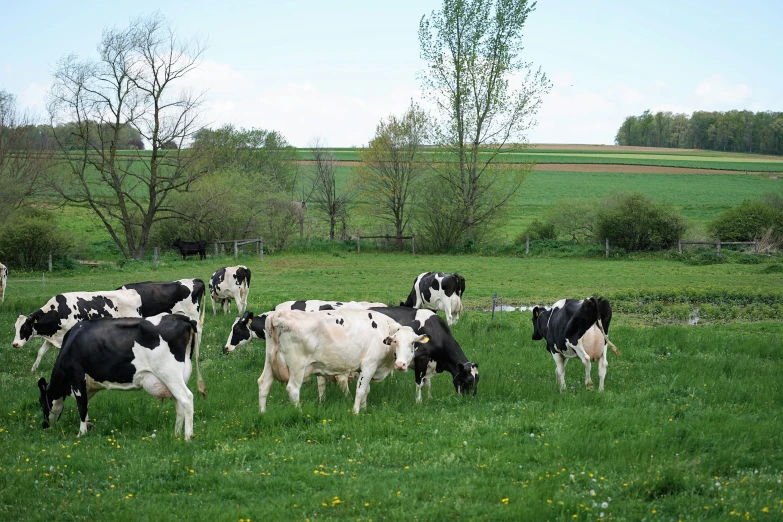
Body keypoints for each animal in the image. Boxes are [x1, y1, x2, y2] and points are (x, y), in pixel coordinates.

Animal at [12, 288, 144, 370]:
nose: (14, 344)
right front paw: (33, 369)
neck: (59, 311)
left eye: (24, 328)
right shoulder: (52, 337)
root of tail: (131, 291)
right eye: (15, 328)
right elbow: (40, 352)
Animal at [37, 310, 205, 436]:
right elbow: (86, 405)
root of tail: (183, 317)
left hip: (169, 373)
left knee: (186, 398)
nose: (44, 426)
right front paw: (89, 427)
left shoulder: (76, 376)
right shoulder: (88, 386)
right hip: (180, 375)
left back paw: (187, 436)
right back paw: (176, 434)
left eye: (41, 401)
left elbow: (82, 407)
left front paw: (81, 433)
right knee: (179, 404)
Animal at [260, 306, 428, 412]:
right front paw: (356, 411)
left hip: (269, 361)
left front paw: (365, 408)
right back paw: (299, 412)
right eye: (395, 342)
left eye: (412, 343)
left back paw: (263, 412)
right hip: (297, 366)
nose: (400, 365)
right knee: (293, 389)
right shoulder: (369, 365)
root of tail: (279, 314)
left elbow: (366, 390)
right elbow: (360, 390)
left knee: (263, 384)